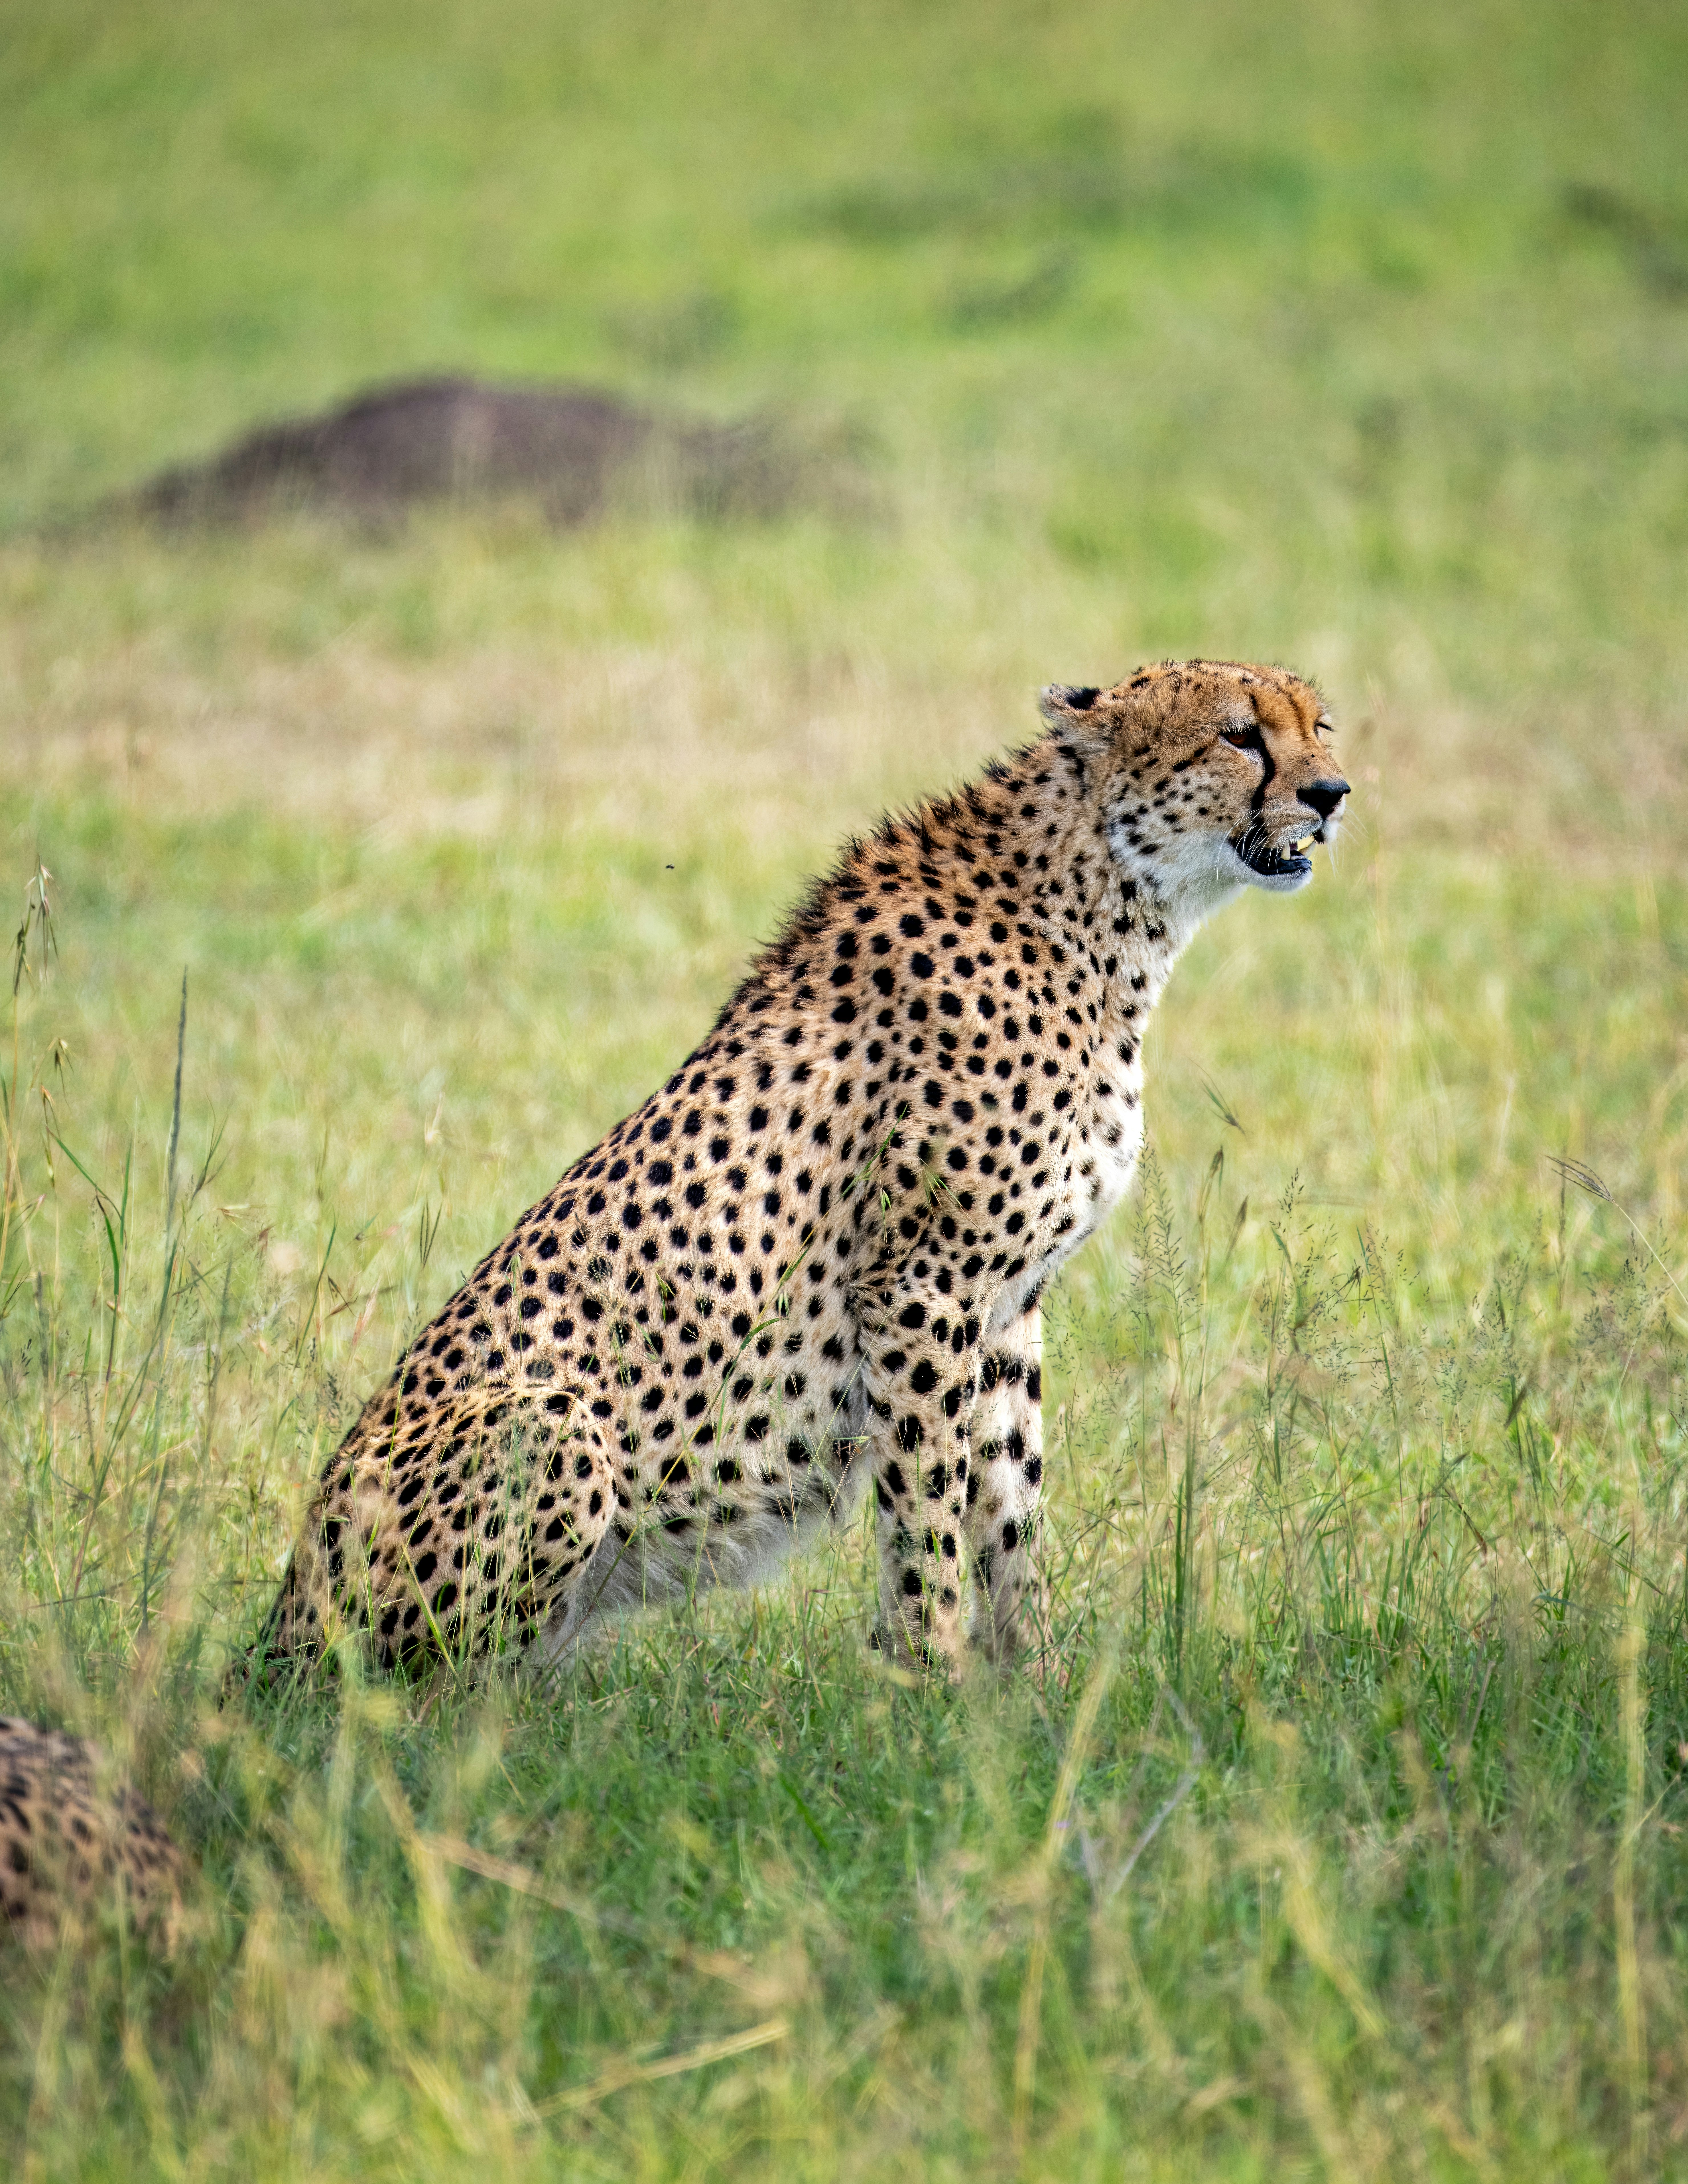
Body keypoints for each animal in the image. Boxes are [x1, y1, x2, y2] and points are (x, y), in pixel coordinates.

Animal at [257, 658, 1347, 1681]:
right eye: (1239, 735)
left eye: (1319, 724)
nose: (1332, 792)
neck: (1103, 904)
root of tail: (272, 1634)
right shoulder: (920, 1286)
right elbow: (927, 1513)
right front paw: (932, 1684)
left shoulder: (1006, 1307)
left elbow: (1008, 1508)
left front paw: (1032, 1684)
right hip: (550, 1427)